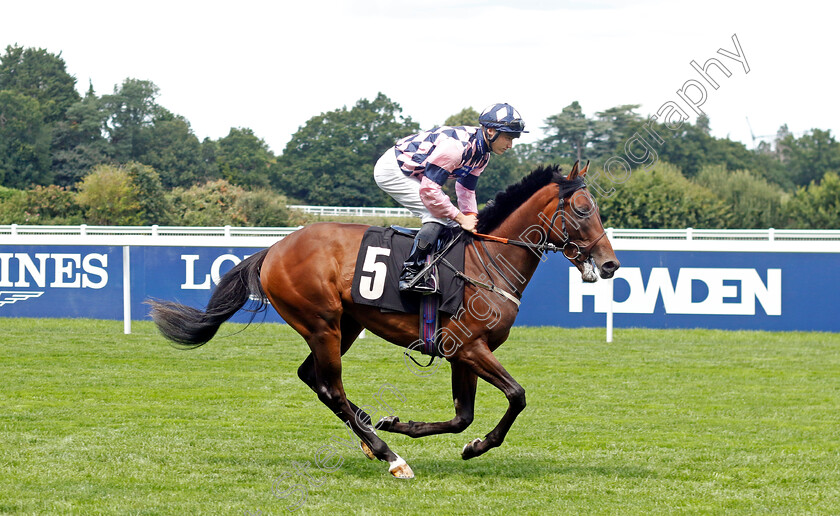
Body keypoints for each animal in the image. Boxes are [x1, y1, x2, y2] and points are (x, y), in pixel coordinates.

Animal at [149, 161, 616, 480]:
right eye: (581, 209)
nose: (610, 264)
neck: (488, 260)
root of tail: (274, 249)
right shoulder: (469, 346)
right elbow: (517, 396)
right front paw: (477, 446)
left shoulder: (461, 352)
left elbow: (462, 416)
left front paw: (411, 427)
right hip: (322, 324)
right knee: (330, 388)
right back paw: (390, 456)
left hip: (345, 324)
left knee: (313, 378)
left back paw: (370, 434)